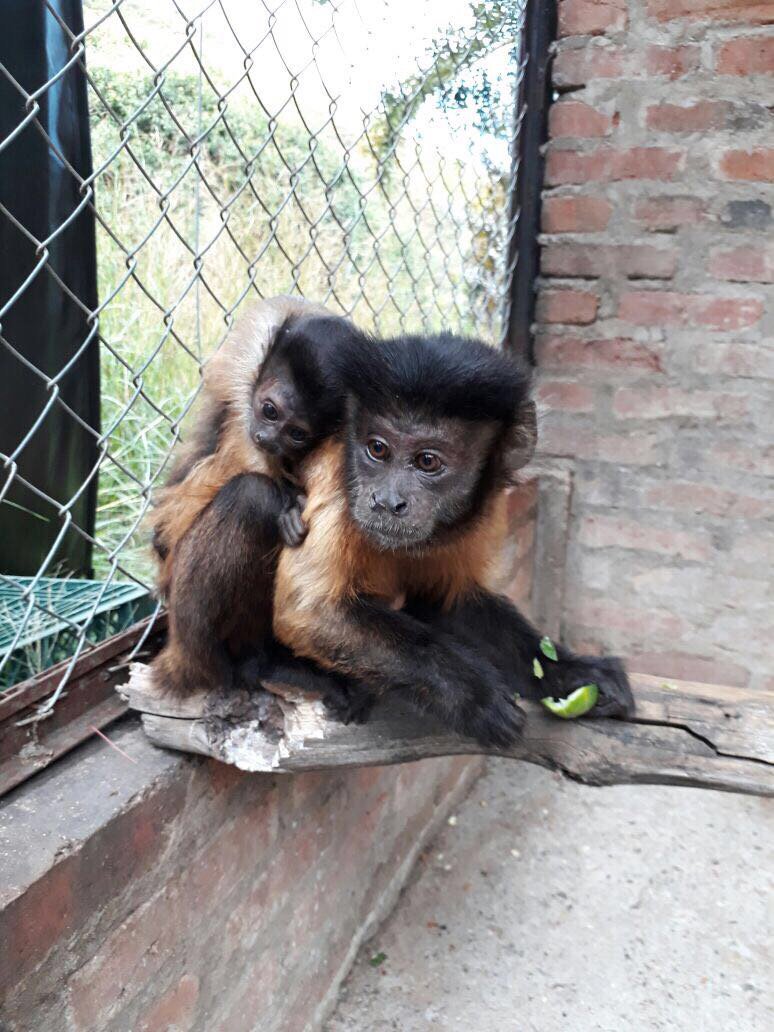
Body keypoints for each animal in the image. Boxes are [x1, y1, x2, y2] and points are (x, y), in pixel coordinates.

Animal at [149, 296, 361, 700]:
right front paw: (287, 501)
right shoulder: (244, 362)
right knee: (252, 497)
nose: (267, 438)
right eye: (269, 410)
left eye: (297, 433)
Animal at [273, 329, 634, 747]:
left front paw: (567, 672)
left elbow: (448, 600)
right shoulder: (336, 477)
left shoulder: (484, 508)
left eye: (427, 462)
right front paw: (471, 695)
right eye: (377, 449)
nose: (387, 501)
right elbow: (311, 613)